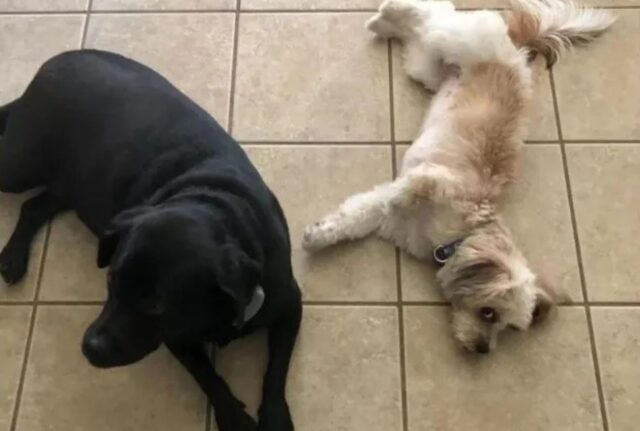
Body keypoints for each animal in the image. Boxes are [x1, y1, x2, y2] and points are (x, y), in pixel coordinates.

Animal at [0, 49, 302, 431]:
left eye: (157, 304)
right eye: (111, 280)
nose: (89, 347)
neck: (212, 202)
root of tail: (51, 65)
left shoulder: (290, 304)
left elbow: (275, 369)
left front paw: (275, 416)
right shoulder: (177, 338)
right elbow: (209, 377)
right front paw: (233, 416)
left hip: (70, 183)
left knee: (35, 205)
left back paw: (13, 257)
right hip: (18, 166)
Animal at [302, 0, 612, 354]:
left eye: (508, 328)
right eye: (488, 313)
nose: (482, 350)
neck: (454, 236)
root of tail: (518, 52)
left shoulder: (388, 219)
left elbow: (352, 218)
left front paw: (320, 233)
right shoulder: (430, 181)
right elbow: (400, 191)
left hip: (428, 66)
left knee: (420, 30)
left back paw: (384, 23)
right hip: (457, 39)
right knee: (435, 13)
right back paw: (388, 11)